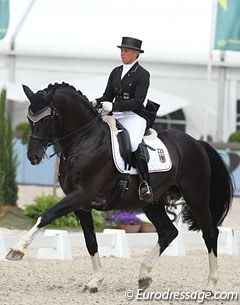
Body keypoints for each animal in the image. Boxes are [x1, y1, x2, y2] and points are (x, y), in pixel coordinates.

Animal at [5, 82, 233, 292]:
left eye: (46, 119)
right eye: (29, 119)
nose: (33, 156)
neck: (85, 139)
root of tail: (196, 143)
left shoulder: (82, 195)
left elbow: (47, 215)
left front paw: (17, 249)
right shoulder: (81, 205)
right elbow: (91, 241)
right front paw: (95, 281)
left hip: (196, 197)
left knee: (210, 232)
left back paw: (210, 284)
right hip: (151, 203)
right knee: (168, 232)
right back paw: (144, 276)